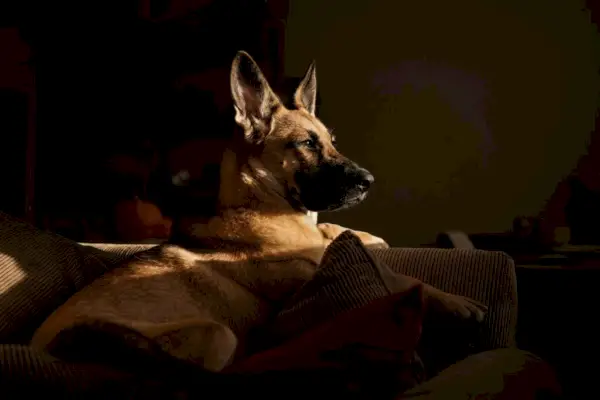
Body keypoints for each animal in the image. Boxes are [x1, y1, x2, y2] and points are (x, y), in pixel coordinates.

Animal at [29, 50, 488, 376]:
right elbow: (399, 277)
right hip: (215, 335)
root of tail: (41, 348)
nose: (369, 181)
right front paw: (457, 302)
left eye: (330, 140)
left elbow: (341, 233)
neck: (265, 206)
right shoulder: (306, 273)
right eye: (306, 144)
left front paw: (368, 237)